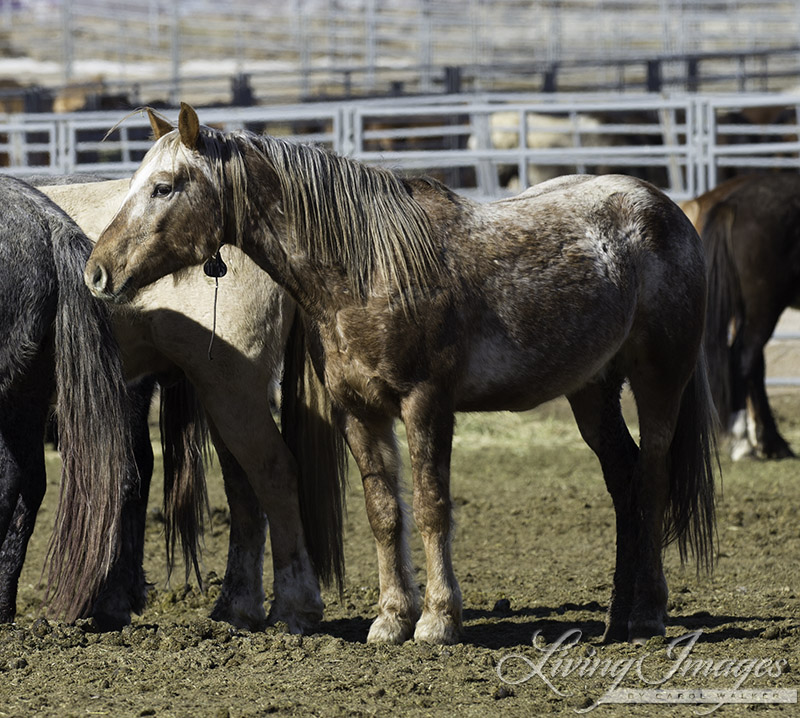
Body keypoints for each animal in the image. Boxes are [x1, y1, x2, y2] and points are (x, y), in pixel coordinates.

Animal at [37, 179, 346, 636]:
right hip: (221, 395)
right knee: (243, 488)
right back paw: (237, 607)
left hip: (231, 388)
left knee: (273, 475)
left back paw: (294, 606)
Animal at [83, 104, 720, 648]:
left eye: (164, 187)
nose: (96, 271)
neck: (368, 268)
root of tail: (665, 209)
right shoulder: (359, 412)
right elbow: (384, 512)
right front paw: (391, 619)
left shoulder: (426, 404)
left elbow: (433, 505)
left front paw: (438, 620)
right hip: (592, 390)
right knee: (624, 479)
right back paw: (618, 616)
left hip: (660, 379)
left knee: (652, 476)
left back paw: (649, 614)